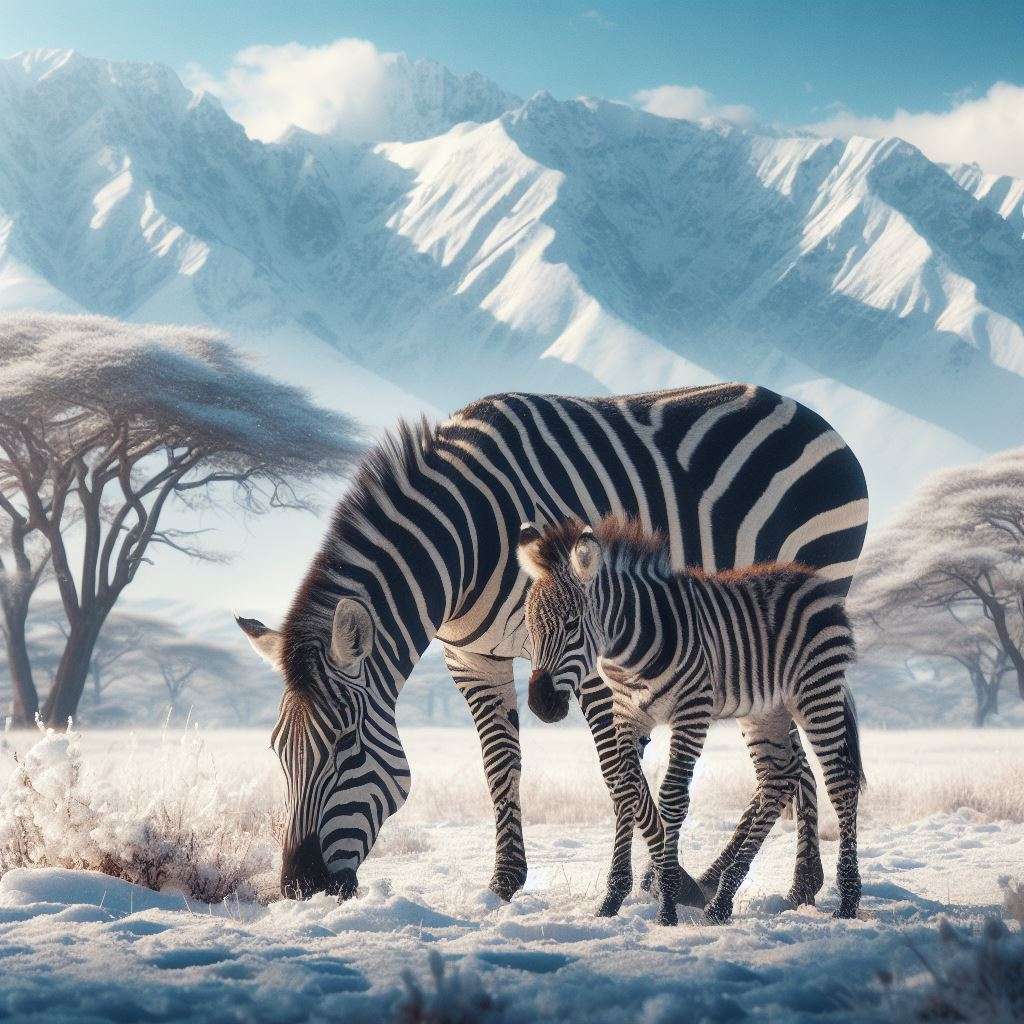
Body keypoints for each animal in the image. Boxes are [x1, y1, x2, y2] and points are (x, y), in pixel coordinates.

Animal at [520, 516, 864, 925]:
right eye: (529, 626)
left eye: (572, 625)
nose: (541, 703)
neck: (629, 651)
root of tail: (813, 580)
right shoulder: (627, 714)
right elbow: (625, 790)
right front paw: (612, 899)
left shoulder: (692, 711)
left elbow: (671, 796)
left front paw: (667, 903)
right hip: (766, 710)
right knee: (778, 778)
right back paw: (722, 900)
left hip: (816, 691)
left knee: (840, 782)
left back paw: (847, 902)